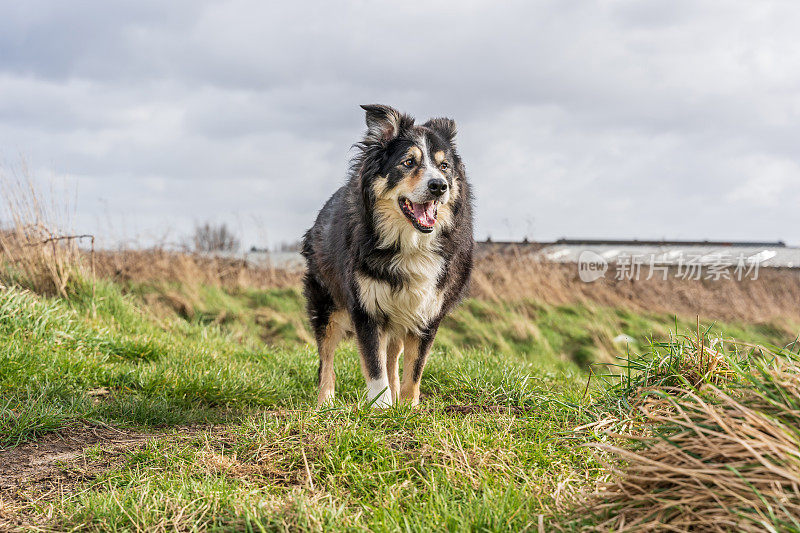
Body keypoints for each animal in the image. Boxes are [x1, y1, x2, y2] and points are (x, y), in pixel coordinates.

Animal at [304, 102, 472, 406]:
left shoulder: (428, 311)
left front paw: (407, 407)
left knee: (393, 357)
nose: (439, 186)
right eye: (408, 162)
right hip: (326, 304)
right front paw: (381, 408)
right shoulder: (365, 307)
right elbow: (374, 366)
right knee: (327, 358)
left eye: (444, 166)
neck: (411, 243)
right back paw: (325, 404)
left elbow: (413, 369)